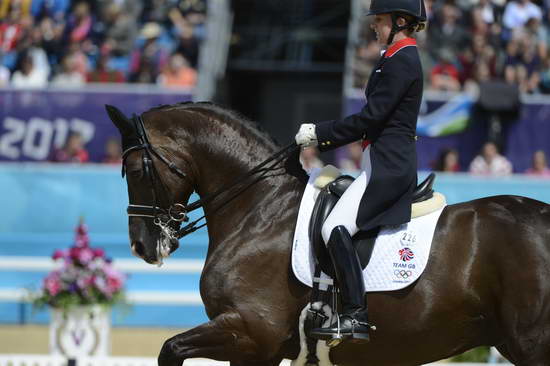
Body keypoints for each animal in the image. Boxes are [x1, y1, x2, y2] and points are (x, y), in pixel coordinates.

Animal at [106, 102, 550, 366]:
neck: (258, 209)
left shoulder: (250, 331)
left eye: (137, 170)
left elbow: (169, 349)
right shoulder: (258, 347)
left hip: (531, 342)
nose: (142, 245)